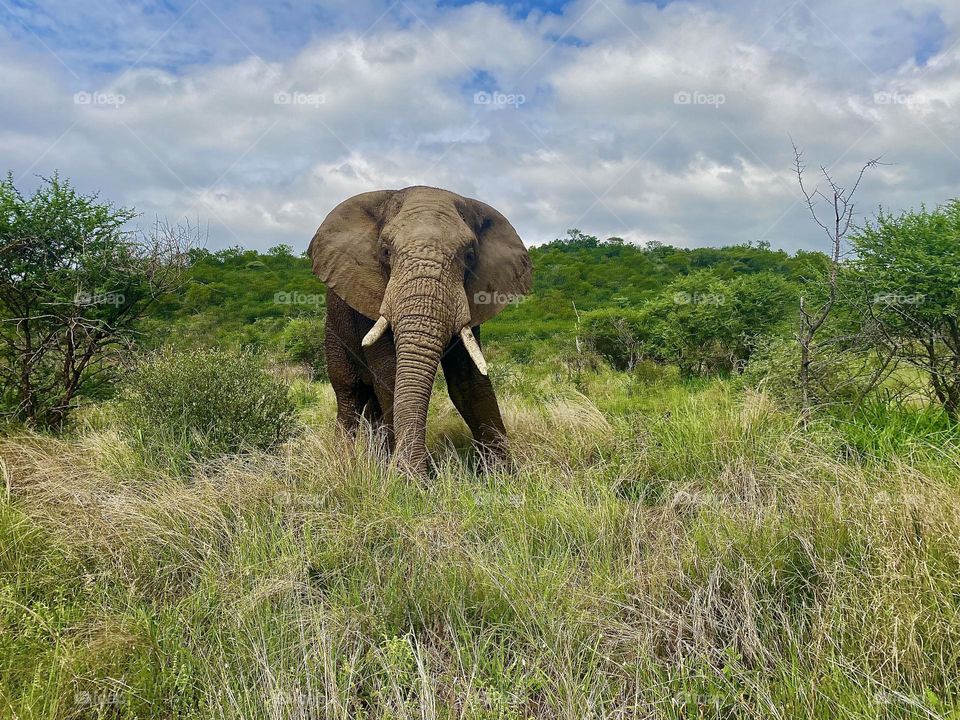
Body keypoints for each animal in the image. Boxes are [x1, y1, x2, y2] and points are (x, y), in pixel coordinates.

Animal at [308, 186, 532, 477]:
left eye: (470, 255)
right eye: (385, 252)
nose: (418, 478)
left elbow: (468, 381)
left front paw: (504, 476)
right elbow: (390, 376)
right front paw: (403, 478)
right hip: (333, 331)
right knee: (349, 393)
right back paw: (347, 463)